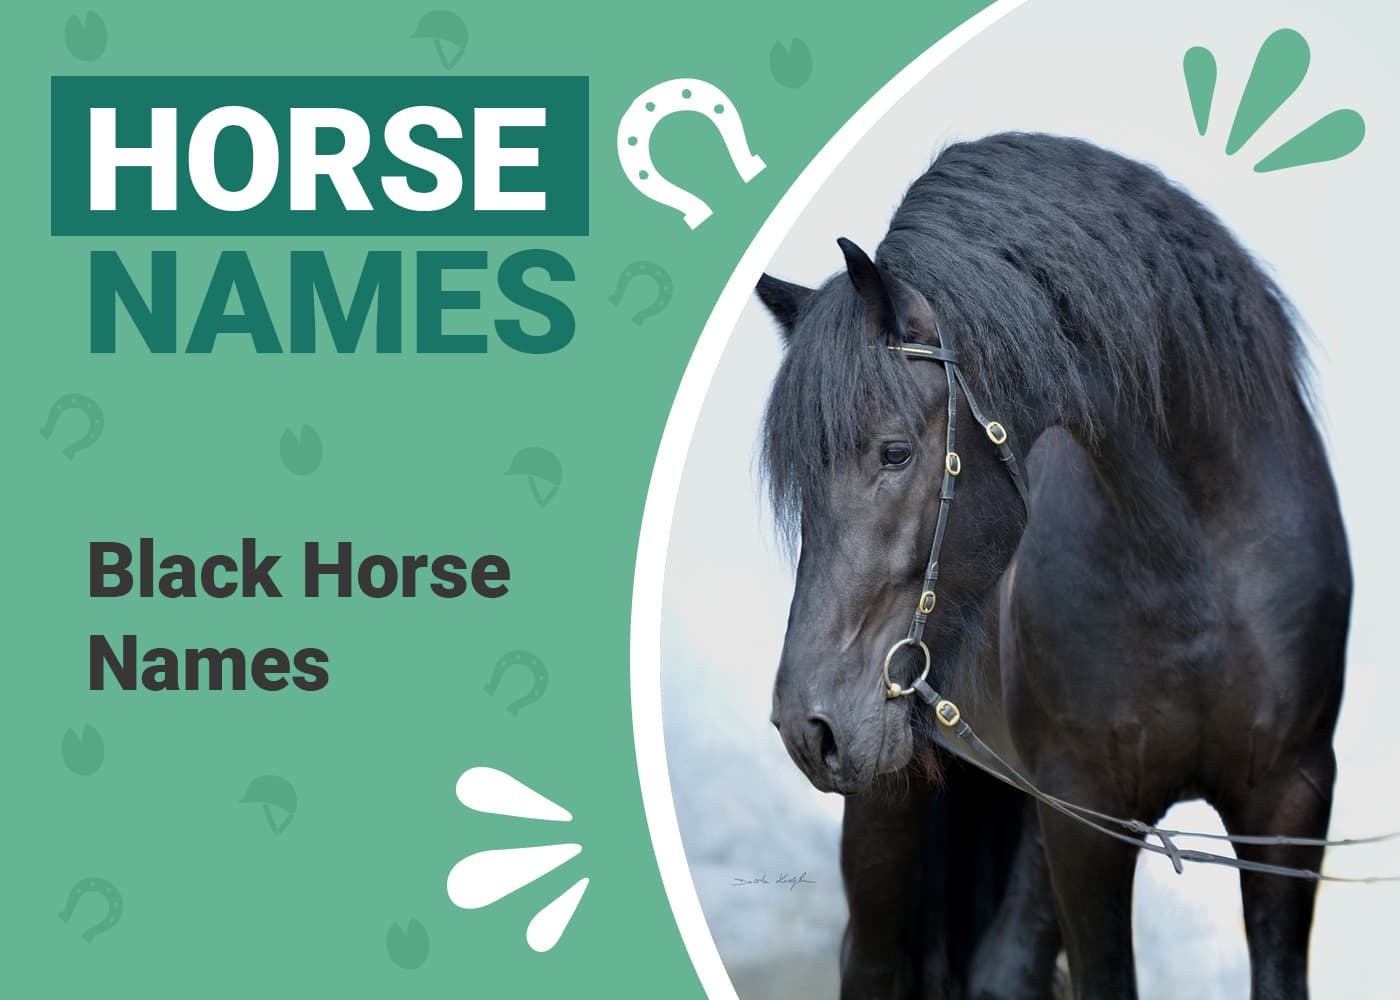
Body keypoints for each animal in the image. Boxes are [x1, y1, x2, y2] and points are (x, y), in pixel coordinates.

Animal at [754, 132, 1351, 1000]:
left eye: (894, 452)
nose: (809, 727)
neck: (1202, 568)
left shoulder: (1289, 806)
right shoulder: (1085, 819)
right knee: (877, 960)